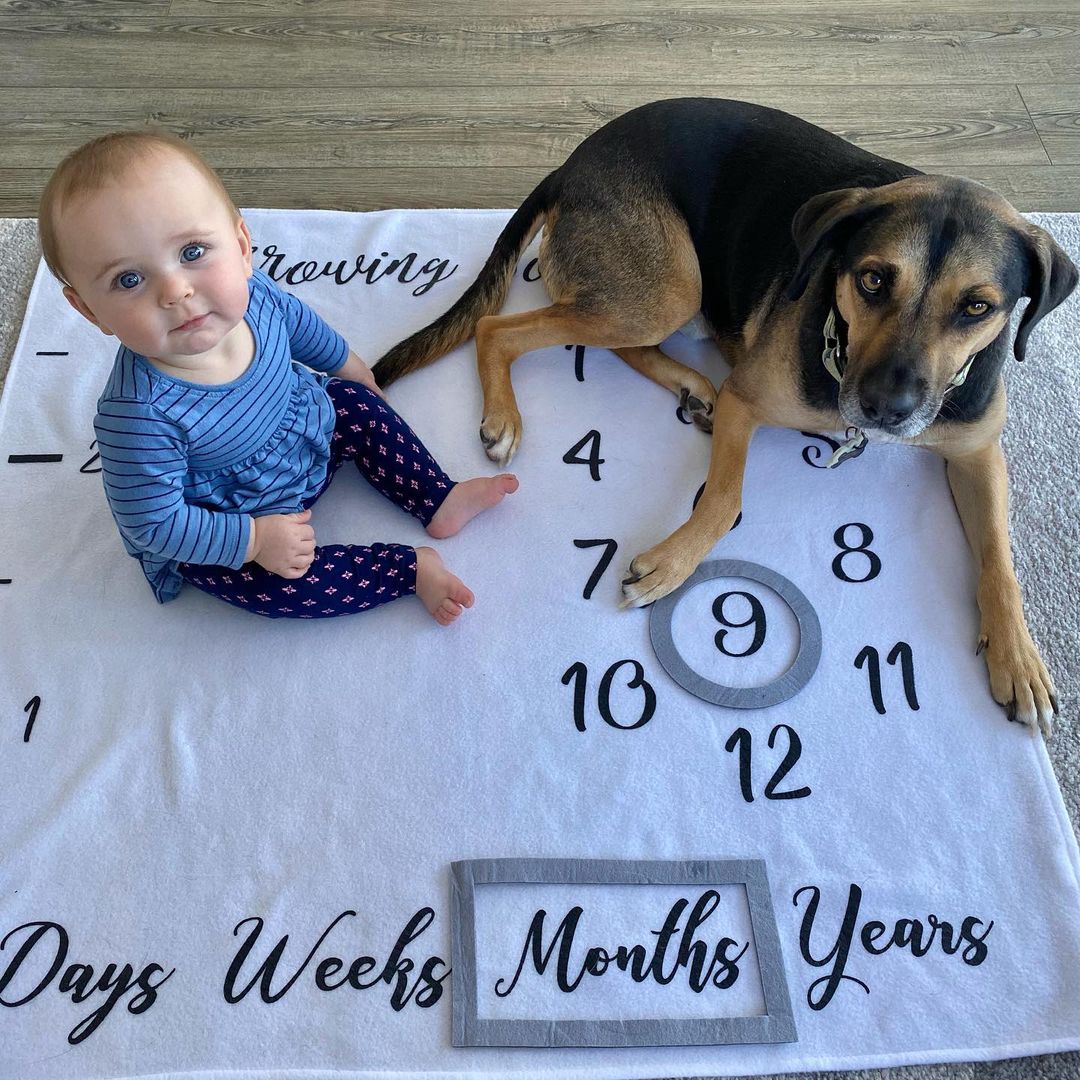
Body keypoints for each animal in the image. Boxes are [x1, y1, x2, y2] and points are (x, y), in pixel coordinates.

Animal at [373, 97, 1080, 734]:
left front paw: (1019, 658)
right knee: (496, 329)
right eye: (874, 280)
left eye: (977, 307)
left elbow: (1000, 559)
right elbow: (723, 498)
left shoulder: (976, 452)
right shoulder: (749, 402)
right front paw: (671, 563)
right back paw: (506, 416)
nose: (885, 409)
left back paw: (692, 385)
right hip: (667, 288)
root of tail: (572, 163)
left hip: (662, 296)